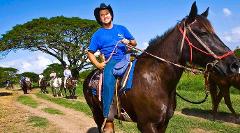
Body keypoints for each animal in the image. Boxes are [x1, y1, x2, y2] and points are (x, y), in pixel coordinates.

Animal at [83, 2, 240, 133]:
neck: (156, 80)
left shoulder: (164, 124)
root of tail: (89, 77)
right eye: (202, 32)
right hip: (96, 113)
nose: (234, 65)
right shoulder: (147, 125)